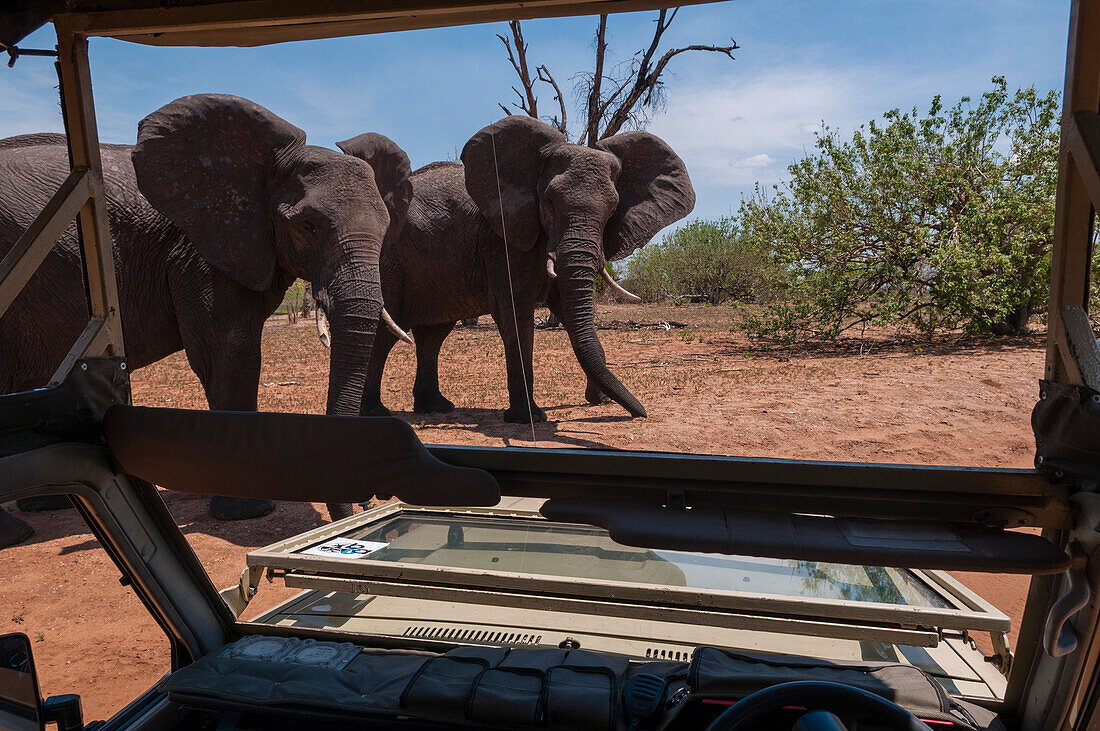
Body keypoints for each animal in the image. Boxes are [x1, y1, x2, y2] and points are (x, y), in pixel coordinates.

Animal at [0, 92, 409, 547]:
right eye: (308, 225)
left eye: (386, 228)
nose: (368, 505)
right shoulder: (202, 252)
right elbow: (230, 355)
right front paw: (249, 510)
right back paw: (17, 532)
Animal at [338, 114, 690, 422]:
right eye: (549, 200)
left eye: (613, 208)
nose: (641, 413)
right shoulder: (502, 239)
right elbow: (513, 310)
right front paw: (528, 418)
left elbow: (567, 307)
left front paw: (601, 399)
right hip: (386, 258)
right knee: (388, 328)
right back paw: (375, 413)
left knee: (433, 334)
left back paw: (436, 408)